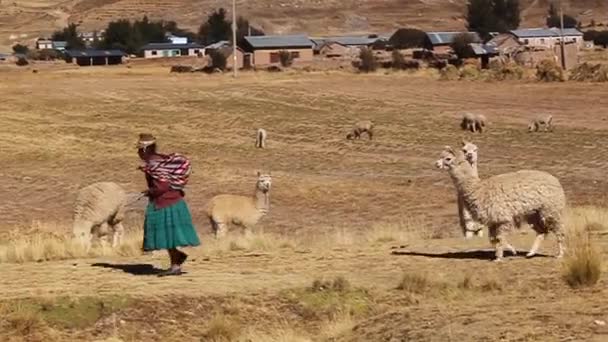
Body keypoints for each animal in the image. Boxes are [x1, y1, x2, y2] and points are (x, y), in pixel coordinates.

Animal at [436, 146, 564, 262]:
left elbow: (499, 237)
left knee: (559, 230)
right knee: (542, 231)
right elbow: (493, 239)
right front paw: (501, 254)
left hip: (551, 209)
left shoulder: (502, 218)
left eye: (447, 158)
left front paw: (504, 255)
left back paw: (560, 254)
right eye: (440, 156)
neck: (480, 190)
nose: (436, 164)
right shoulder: (493, 220)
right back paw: (530, 253)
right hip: (533, 213)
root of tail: (555, 180)